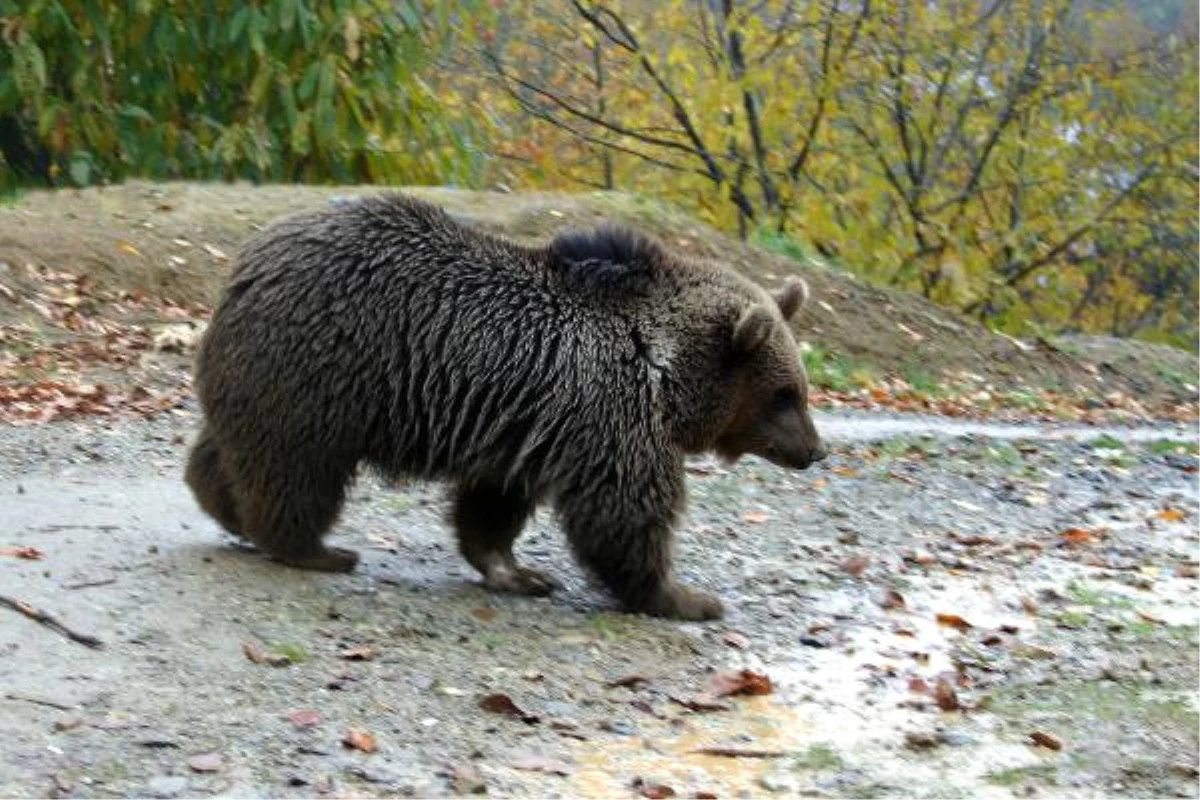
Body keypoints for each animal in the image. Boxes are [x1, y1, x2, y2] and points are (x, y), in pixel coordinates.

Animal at [184, 194, 825, 618]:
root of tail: (247, 258)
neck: (664, 372)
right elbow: (625, 513)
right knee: (297, 470)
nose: (814, 450)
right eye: (785, 394)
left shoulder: (527, 427)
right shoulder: (610, 415)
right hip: (325, 376)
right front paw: (687, 596)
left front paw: (519, 571)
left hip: (272, 376)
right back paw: (316, 549)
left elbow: (492, 507)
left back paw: (225, 506)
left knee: (229, 450)